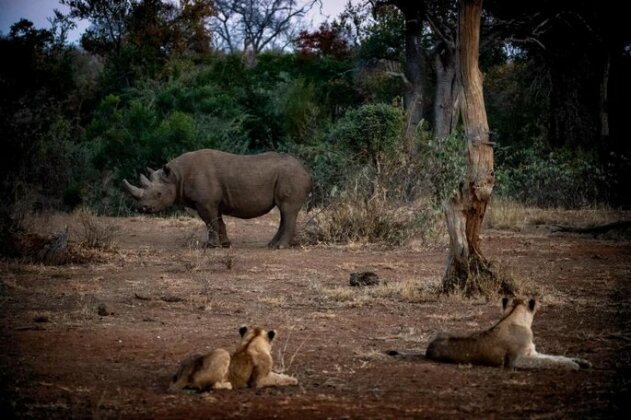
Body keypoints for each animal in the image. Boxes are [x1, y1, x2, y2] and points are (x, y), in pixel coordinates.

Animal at [169, 326, 300, 392]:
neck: (251, 342)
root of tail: (184, 376)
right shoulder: (259, 380)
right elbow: (278, 378)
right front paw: (293, 380)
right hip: (223, 353)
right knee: (210, 386)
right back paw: (228, 385)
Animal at [424, 296, 592, 370]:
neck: (513, 316)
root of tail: (428, 347)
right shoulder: (516, 360)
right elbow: (548, 362)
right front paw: (572, 365)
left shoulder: (533, 352)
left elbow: (555, 357)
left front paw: (582, 361)